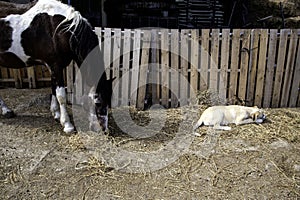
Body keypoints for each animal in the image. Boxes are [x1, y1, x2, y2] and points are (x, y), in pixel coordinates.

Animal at [0, 0, 112, 133]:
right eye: (98, 102)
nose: (104, 129)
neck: (60, 30)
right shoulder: (55, 66)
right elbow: (61, 95)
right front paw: (67, 124)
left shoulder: (55, 67)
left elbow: (53, 89)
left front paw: (57, 114)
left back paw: (6, 111)